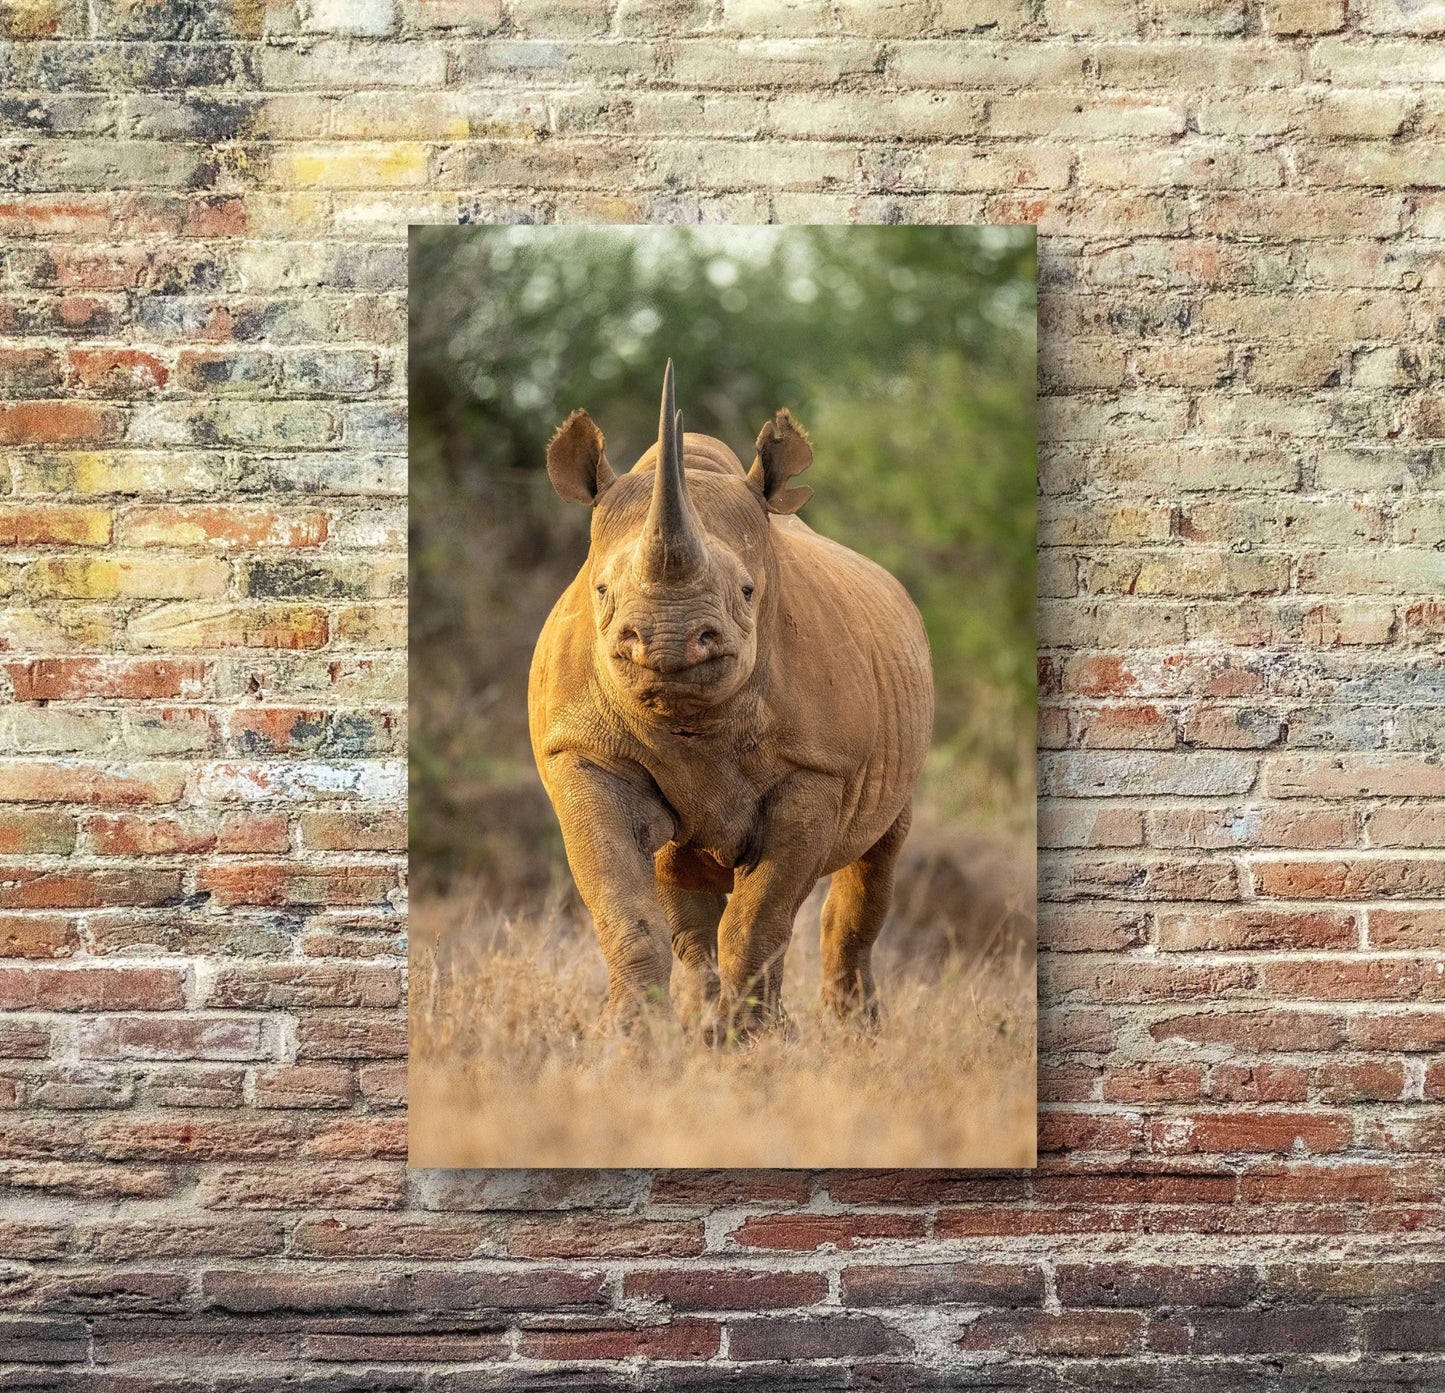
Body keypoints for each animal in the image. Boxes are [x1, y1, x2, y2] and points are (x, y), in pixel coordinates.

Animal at [528, 362, 934, 1034]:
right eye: (602, 589)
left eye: (747, 591)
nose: (668, 640)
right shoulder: (585, 752)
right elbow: (626, 910)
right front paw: (628, 1037)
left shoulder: (815, 770)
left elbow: (759, 920)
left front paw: (749, 1041)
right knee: (683, 885)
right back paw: (706, 1023)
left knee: (874, 862)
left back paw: (849, 1032)